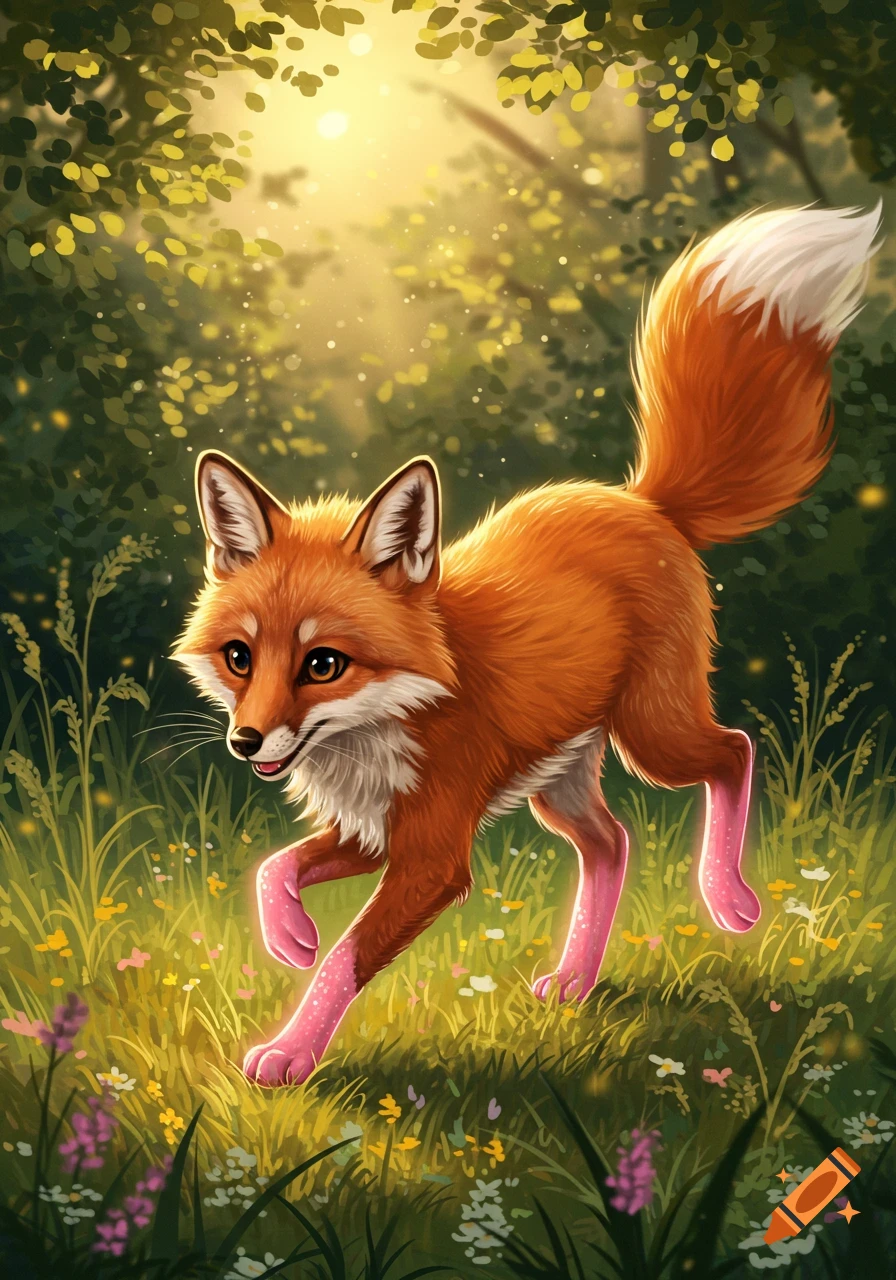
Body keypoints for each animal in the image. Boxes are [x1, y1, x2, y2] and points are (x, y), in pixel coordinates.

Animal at [174, 203, 880, 1087]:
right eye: (240, 657)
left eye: (322, 664)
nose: (245, 741)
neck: (393, 719)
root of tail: (644, 500)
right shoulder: (376, 830)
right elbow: (277, 868)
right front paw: (288, 936)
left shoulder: (434, 855)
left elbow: (346, 956)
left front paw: (290, 1051)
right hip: (560, 780)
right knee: (612, 845)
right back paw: (576, 979)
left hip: (652, 734)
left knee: (734, 751)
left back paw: (727, 900)